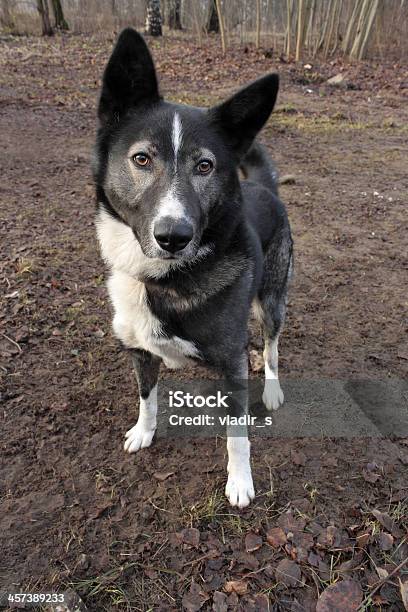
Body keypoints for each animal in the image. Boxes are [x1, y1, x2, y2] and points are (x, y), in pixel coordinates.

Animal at [93, 28, 294, 506]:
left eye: (205, 166)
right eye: (142, 159)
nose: (174, 236)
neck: (162, 279)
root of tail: (264, 187)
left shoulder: (231, 364)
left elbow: (237, 434)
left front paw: (239, 481)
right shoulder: (138, 351)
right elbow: (146, 396)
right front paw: (143, 432)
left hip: (272, 300)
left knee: (272, 346)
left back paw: (272, 387)